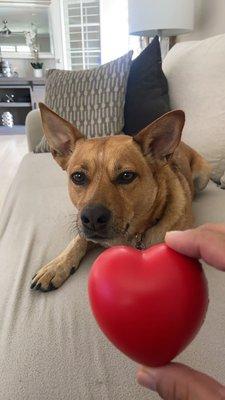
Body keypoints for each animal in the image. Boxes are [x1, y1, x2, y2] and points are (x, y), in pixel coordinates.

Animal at [30, 103, 211, 290]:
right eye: (78, 177)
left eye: (126, 176)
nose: (92, 218)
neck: (132, 235)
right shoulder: (84, 231)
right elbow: (78, 239)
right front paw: (56, 265)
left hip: (203, 176)